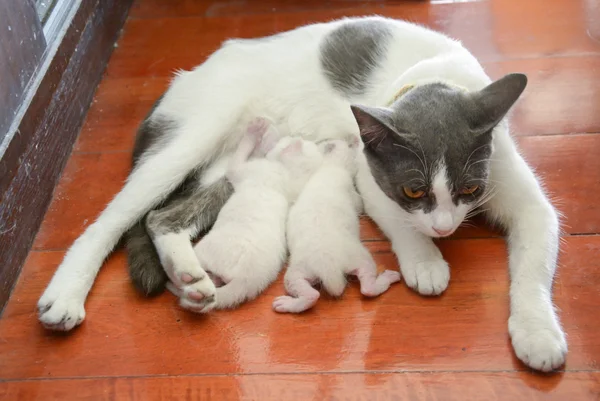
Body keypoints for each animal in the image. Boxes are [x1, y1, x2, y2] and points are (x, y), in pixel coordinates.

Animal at [274, 138, 400, 312]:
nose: (353, 140)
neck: (329, 166)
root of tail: (330, 268)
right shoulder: (353, 194)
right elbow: (358, 205)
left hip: (298, 270)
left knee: (311, 294)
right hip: (360, 257)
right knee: (367, 288)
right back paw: (389, 277)